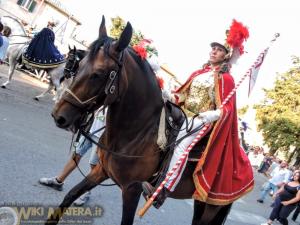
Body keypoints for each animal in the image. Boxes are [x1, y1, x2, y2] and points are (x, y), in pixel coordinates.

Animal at [49, 16, 232, 225]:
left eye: (98, 73)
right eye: (79, 66)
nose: (59, 116)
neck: (135, 133)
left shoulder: (132, 189)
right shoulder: (101, 171)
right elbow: (70, 195)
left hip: (211, 206)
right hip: (200, 203)